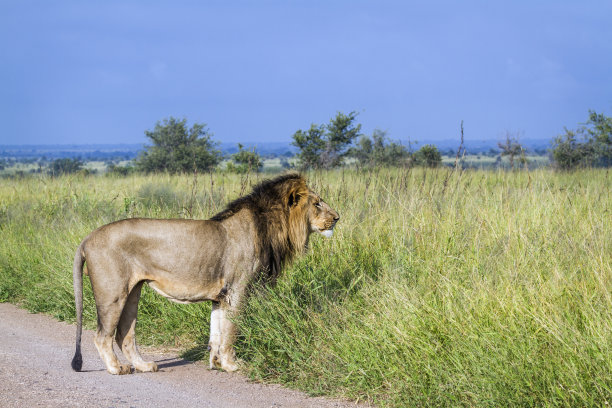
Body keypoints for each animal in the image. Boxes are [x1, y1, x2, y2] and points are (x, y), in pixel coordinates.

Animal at [71, 174, 340, 374]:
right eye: (317, 203)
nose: (337, 218)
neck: (269, 226)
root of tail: (87, 238)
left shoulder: (221, 295)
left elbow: (217, 332)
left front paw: (217, 363)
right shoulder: (238, 289)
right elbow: (231, 330)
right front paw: (232, 365)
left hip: (133, 291)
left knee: (124, 334)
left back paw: (144, 366)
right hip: (113, 293)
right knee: (102, 336)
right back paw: (116, 368)